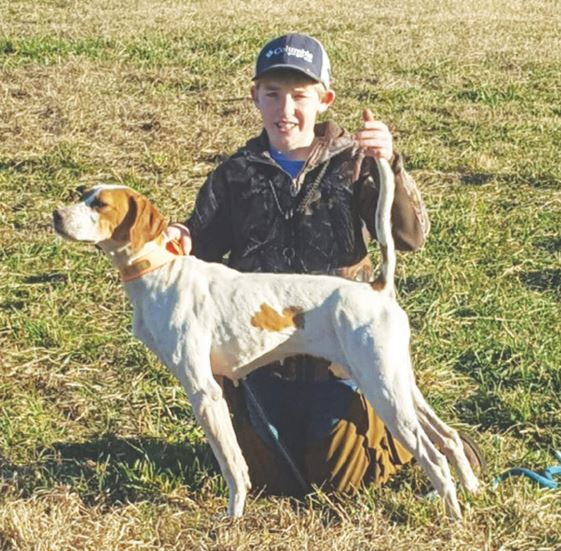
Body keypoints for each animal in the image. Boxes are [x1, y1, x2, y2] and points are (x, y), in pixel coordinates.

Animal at [53, 161, 476, 520]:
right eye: (83, 193)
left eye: (101, 204)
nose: (56, 214)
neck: (160, 272)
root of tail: (377, 288)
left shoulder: (204, 391)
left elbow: (232, 463)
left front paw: (233, 515)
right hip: (400, 384)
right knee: (450, 437)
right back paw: (471, 489)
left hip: (383, 391)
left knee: (433, 456)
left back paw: (453, 516)